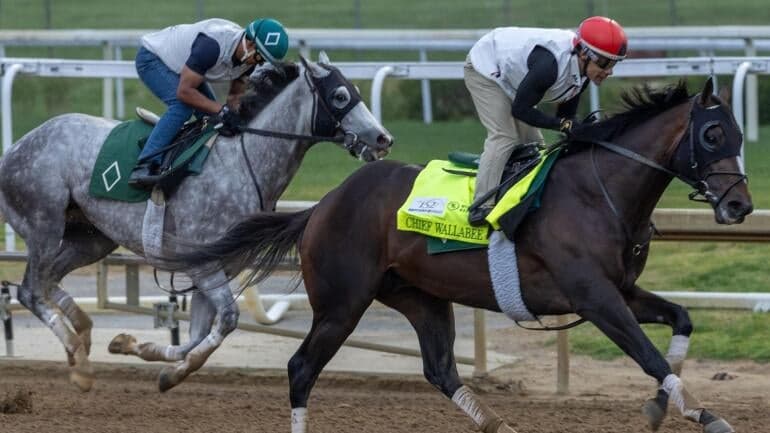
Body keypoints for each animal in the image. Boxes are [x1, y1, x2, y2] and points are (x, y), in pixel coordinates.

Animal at [0, 53, 393, 393]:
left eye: (355, 90)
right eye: (340, 96)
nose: (384, 138)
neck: (241, 163)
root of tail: (14, 150)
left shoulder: (214, 269)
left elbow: (194, 337)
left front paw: (135, 348)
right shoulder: (203, 266)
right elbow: (227, 320)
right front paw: (171, 373)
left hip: (91, 238)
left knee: (49, 280)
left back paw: (82, 333)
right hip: (44, 225)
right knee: (30, 290)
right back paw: (79, 362)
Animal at [166, 77, 752, 433]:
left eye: (740, 133)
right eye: (712, 133)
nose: (740, 204)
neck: (598, 191)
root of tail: (323, 204)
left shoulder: (621, 290)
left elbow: (681, 319)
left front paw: (663, 406)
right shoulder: (594, 297)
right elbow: (650, 356)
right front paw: (702, 413)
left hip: (420, 297)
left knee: (441, 369)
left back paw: (499, 423)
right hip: (341, 304)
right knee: (301, 368)